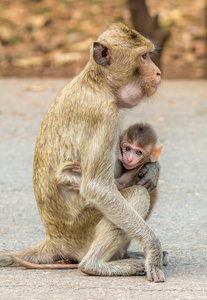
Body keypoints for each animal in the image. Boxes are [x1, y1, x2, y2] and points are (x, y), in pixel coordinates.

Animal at [0, 22, 165, 282]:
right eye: (144, 56)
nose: (158, 72)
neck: (98, 83)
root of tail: (53, 241)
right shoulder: (103, 116)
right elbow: (97, 187)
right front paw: (152, 247)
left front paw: (151, 167)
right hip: (80, 234)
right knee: (139, 193)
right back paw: (96, 265)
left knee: (148, 187)